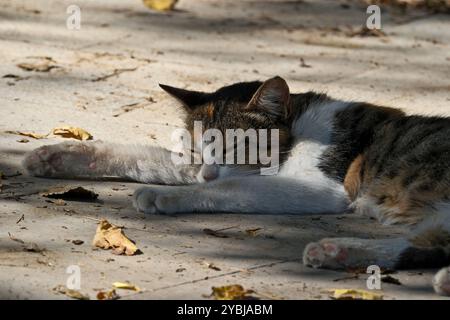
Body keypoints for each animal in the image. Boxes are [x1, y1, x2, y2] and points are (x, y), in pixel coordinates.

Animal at [22, 76, 448, 296]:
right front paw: (58, 156)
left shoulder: (317, 186)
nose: (207, 174)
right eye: (197, 147)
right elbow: (147, 157)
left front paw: (166, 195)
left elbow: (229, 190)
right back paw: (337, 251)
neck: (299, 126)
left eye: (236, 147)